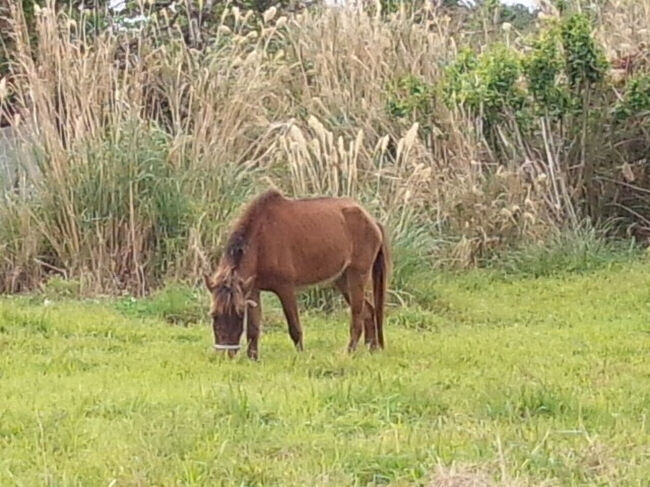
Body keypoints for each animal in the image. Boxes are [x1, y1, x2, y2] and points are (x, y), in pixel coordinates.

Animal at [202, 189, 390, 360]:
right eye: (213, 314)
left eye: (240, 314)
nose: (225, 354)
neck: (261, 239)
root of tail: (372, 220)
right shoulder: (252, 289)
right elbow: (253, 329)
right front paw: (253, 358)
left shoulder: (286, 289)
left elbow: (294, 327)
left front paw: (301, 357)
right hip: (342, 279)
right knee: (368, 311)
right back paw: (372, 349)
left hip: (357, 275)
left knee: (357, 317)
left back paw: (349, 353)